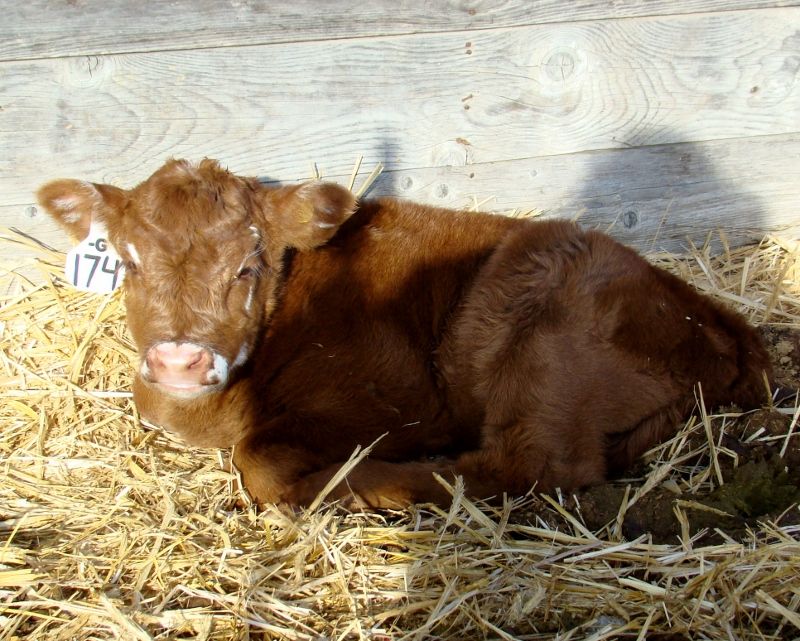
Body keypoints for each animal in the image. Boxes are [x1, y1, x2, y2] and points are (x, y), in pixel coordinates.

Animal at [37, 158, 772, 509]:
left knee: (527, 466)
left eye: (247, 265)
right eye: (129, 262)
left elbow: (259, 459)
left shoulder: (393, 398)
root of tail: (724, 323)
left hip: (544, 331)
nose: (179, 360)